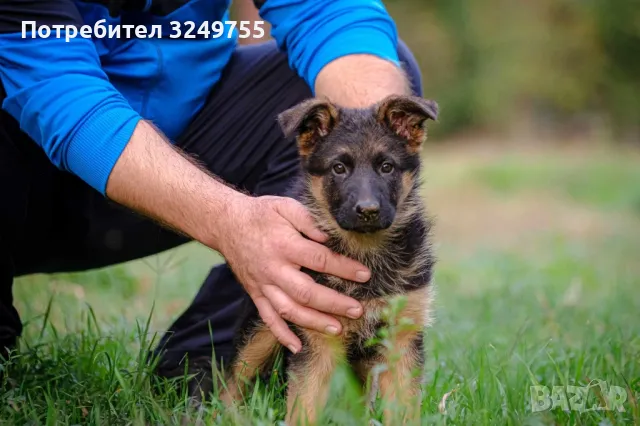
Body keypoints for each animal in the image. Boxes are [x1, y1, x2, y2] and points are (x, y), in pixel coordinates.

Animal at [221, 95, 440, 424]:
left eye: (386, 167)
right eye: (338, 168)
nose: (368, 210)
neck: (365, 252)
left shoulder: (401, 340)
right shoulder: (317, 341)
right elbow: (304, 410)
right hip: (262, 327)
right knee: (232, 381)